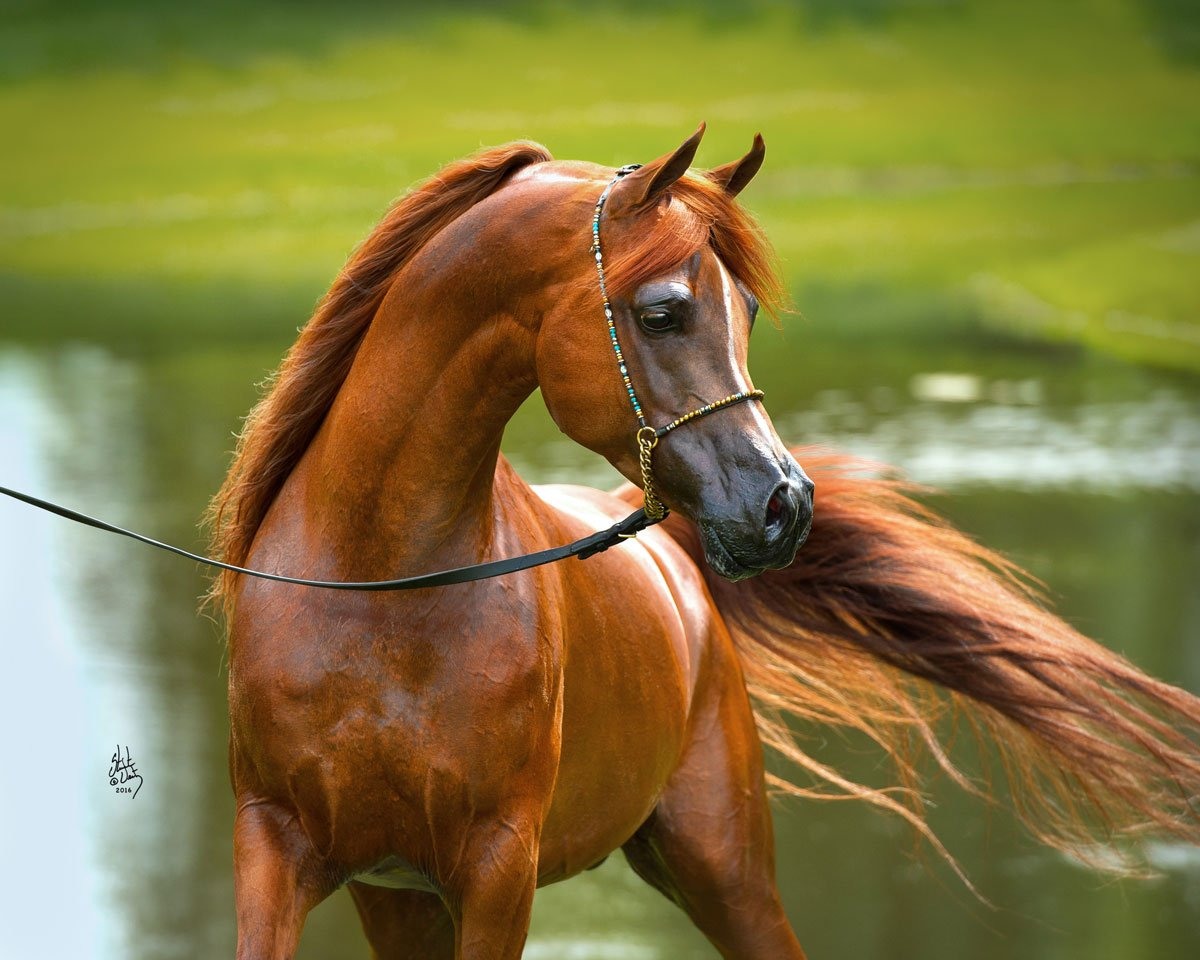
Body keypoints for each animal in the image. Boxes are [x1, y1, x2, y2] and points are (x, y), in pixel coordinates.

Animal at [208, 129, 1200, 960]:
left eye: (749, 309)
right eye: (663, 312)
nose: (783, 504)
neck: (378, 594)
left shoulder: (497, 869)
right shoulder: (281, 849)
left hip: (724, 870)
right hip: (404, 902)